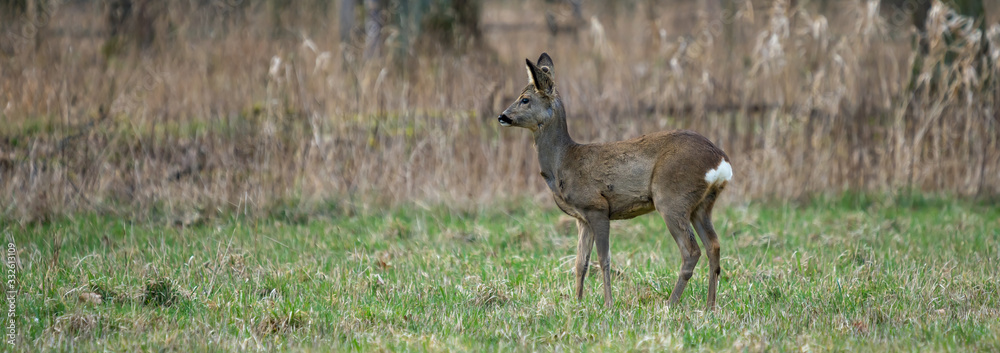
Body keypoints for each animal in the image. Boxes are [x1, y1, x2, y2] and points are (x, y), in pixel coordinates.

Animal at [496, 52, 732, 308]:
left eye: (525, 99)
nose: (502, 116)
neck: (563, 162)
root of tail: (720, 160)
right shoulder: (582, 218)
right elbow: (580, 263)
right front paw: (577, 303)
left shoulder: (596, 206)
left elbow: (603, 259)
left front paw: (608, 304)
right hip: (702, 204)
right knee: (713, 246)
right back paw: (710, 306)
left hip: (672, 197)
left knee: (691, 251)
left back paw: (670, 304)